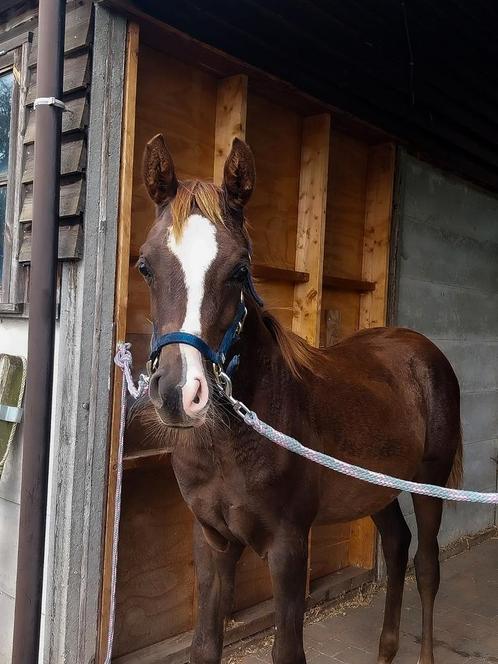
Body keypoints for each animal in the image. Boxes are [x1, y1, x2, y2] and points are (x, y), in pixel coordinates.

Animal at [135, 135, 462, 664]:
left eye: (240, 269)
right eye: (145, 266)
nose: (180, 394)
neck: (231, 445)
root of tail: (421, 349)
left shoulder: (289, 545)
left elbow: (288, 650)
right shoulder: (212, 540)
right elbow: (204, 646)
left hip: (430, 485)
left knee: (427, 568)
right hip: (376, 488)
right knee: (397, 546)